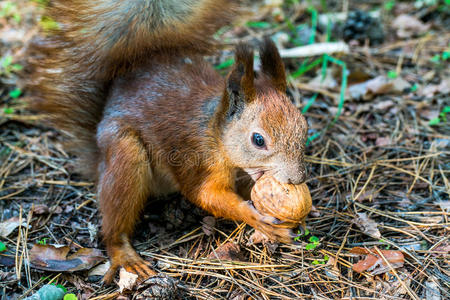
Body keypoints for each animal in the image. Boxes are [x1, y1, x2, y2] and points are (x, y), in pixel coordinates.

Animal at [26, 0, 310, 282]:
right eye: (258, 139)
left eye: (304, 126)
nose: (297, 178)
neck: (214, 132)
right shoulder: (195, 158)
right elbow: (205, 195)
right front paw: (254, 217)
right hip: (125, 155)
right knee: (115, 220)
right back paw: (125, 256)